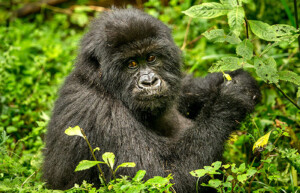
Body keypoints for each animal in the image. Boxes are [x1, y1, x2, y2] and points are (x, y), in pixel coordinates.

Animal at [43, 8, 262, 192]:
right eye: (131, 64)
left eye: (151, 58)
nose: (149, 82)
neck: (101, 84)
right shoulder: (100, 113)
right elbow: (164, 177)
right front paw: (229, 100)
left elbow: (184, 92)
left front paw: (233, 80)